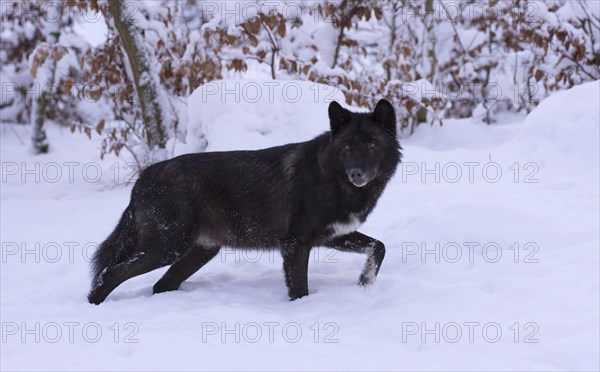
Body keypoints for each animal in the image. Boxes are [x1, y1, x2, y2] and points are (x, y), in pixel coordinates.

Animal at [86, 99, 400, 306]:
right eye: (347, 146)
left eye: (372, 144)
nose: (356, 173)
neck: (331, 179)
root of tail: (144, 176)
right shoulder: (295, 244)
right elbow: (299, 289)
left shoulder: (333, 236)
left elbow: (379, 247)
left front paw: (364, 282)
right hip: (167, 248)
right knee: (108, 273)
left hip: (197, 252)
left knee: (161, 284)